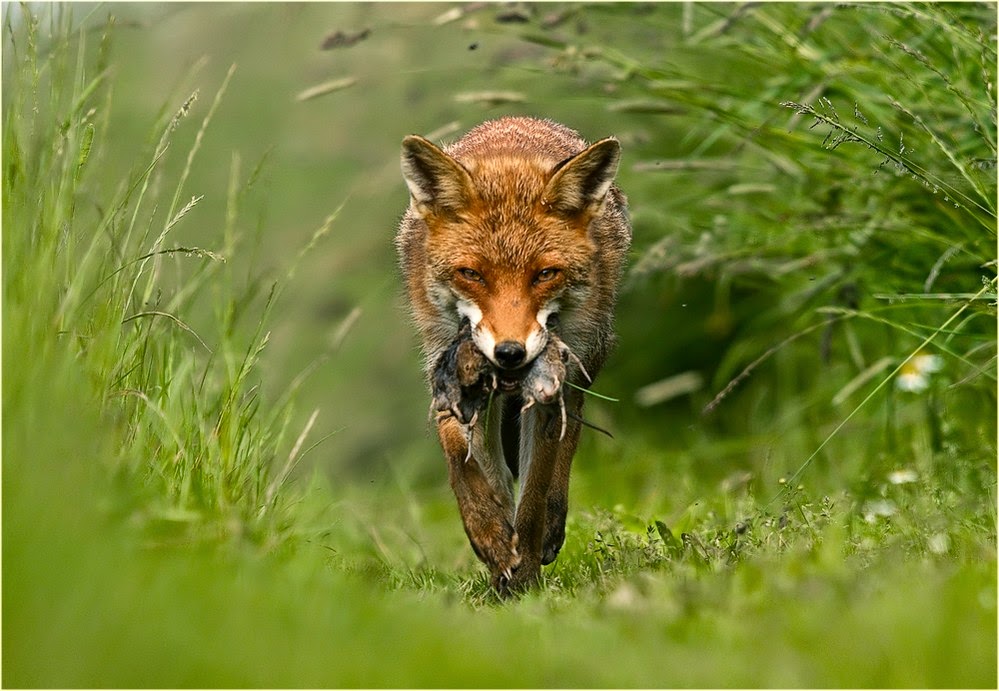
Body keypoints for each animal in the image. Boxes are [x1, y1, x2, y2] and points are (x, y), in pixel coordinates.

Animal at [396, 116, 631, 595]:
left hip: (582, 361)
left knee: (566, 442)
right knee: (502, 475)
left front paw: (524, 580)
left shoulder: (550, 384)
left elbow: (536, 487)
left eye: (545, 274)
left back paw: (547, 532)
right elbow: (462, 460)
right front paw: (490, 538)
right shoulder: (444, 362)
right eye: (471, 274)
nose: (509, 353)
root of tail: (518, 121)